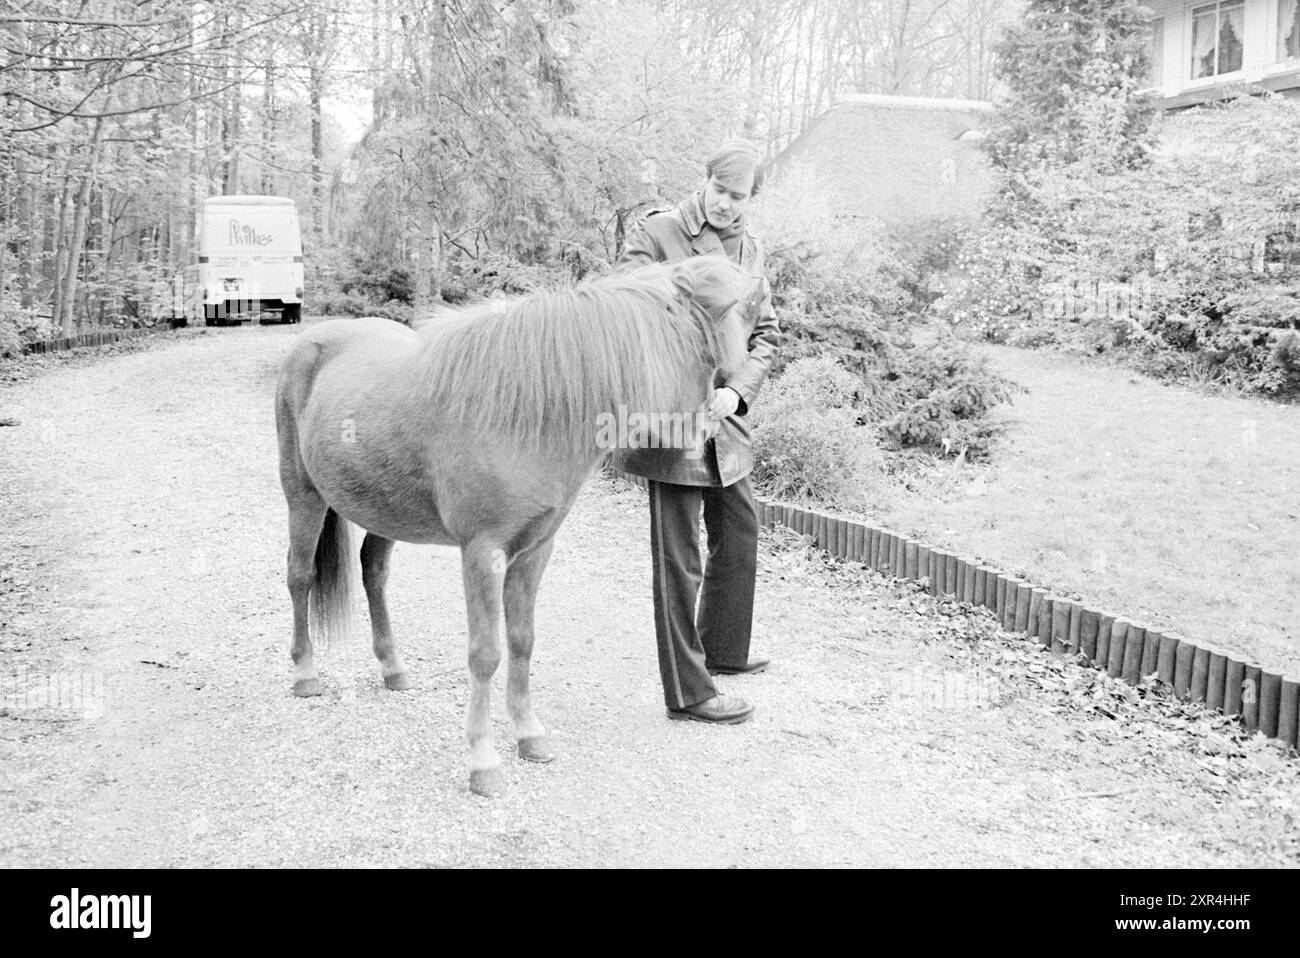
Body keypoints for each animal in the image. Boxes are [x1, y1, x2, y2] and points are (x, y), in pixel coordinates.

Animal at [274, 252, 759, 790]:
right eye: (740, 316)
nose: (720, 412)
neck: (525, 411)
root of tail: (313, 342)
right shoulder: (482, 553)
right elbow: (485, 652)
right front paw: (483, 761)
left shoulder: (535, 550)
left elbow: (523, 641)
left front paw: (529, 735)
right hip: (303, 497)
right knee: (300, 577)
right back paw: (304, 675)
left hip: (383, 511)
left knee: (373, 572)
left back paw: (393, 668)